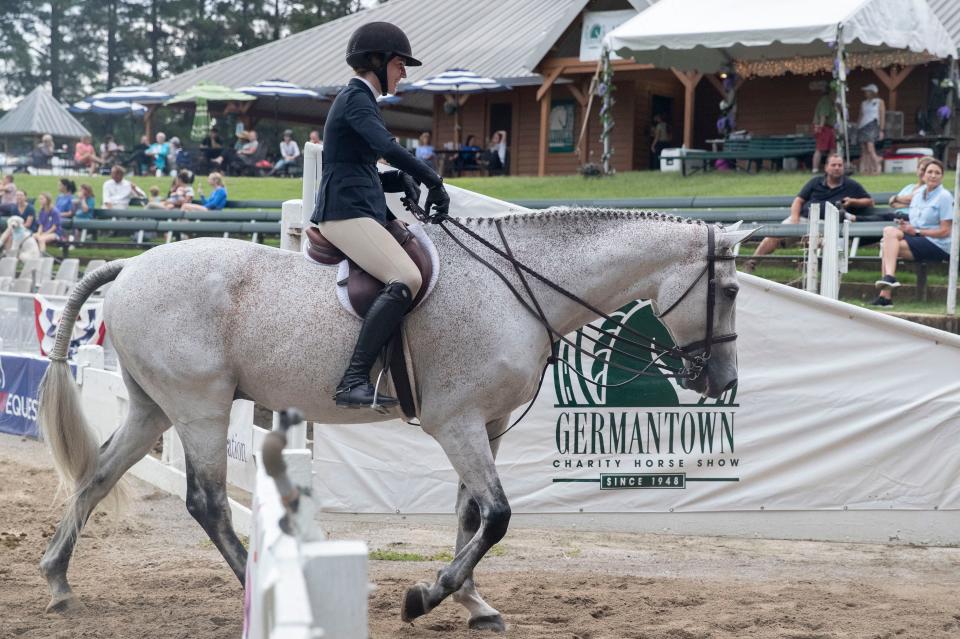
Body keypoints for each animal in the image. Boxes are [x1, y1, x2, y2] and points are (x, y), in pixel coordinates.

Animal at [37, 210, 748, 632]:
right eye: (732, 290)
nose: (722, 382)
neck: (514, 290)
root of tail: (133, 265)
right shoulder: (456, 423)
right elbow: (497, 517)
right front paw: (427, 597)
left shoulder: (485, 423)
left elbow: (470, 515)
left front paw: (473, 604)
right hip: (200, 407)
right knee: (206, 502)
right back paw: (266, 587)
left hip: (154, 407)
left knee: (98, 476)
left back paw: (58, 580)